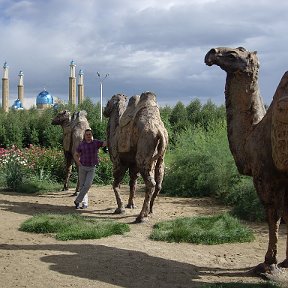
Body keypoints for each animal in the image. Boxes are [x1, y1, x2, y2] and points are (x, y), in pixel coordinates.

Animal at [103, 91, 168, 222]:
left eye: (109, 101)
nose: (104, 110)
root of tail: (159, 132)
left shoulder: (118, 162)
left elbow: (115, 184)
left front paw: (120, 208)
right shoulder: (133, 165)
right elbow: (133, 183)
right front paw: (130, 205)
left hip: (144, 154)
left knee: (151, 184)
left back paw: (141, 217)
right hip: (160, 158)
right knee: (158, 183)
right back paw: (149, 211)